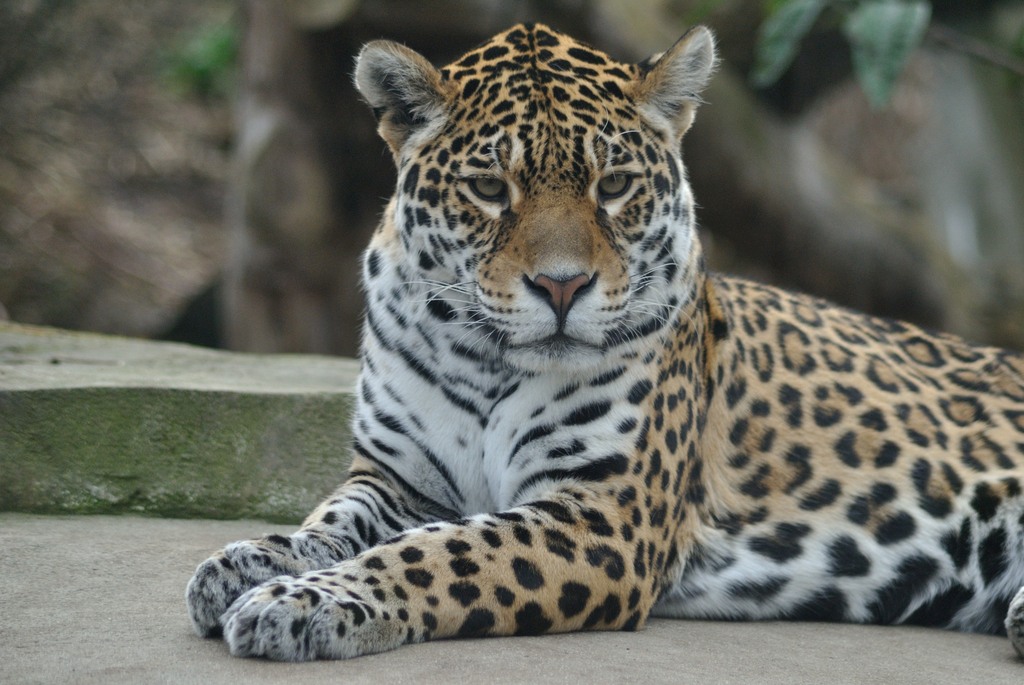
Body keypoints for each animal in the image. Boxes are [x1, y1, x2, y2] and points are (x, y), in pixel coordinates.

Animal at [186, 23, 1024, 661]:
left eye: (613, 185)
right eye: (489, 189)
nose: (562, 288)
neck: (484, 357)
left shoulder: (601, 513)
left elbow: (433, 551)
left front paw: (303, 601)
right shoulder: (397, 477)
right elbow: (332, 520)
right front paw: (250, 559)